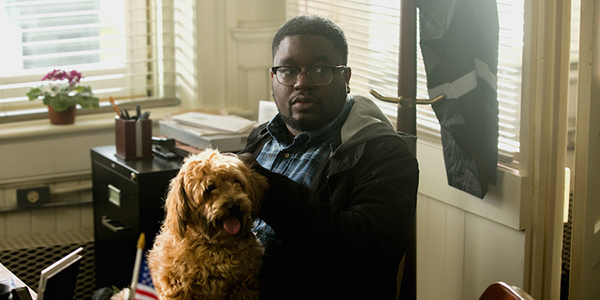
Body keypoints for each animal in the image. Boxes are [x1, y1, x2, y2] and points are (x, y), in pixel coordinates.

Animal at [145, 150, 268, 300]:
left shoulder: (244, 287)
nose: (234, 206)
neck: (217, 244)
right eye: (209, 188)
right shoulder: (176, 288)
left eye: (236, 182)